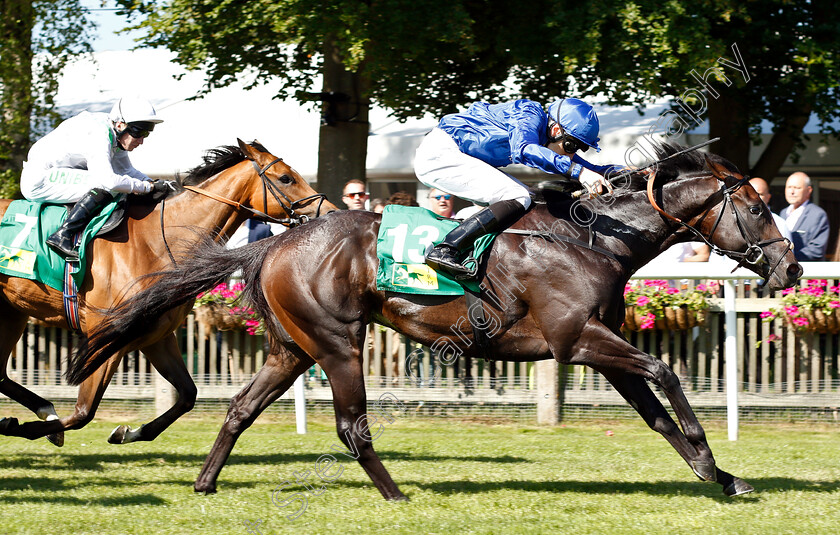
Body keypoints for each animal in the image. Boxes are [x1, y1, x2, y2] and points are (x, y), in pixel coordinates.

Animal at [0, 138, 334, 444]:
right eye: (286, 178)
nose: (331, 212)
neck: (158, 242)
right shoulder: (104, 337)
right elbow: (83, 412)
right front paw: (27, 428)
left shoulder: (156, 336)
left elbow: (188, 394)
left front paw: (129, 432)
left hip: (12, 314)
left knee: (1, 374)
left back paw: (44, 409)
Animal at [70, 144, 800, 500]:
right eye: (758, 210)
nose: (790, 266)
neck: (592, 238)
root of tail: (273, 243)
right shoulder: (578, 341)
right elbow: (666, 374)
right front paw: (711, 455)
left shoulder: (598, 343)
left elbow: (654, 412)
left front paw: (720, 475)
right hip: (338, 341)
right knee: (351, 426)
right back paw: (396, 496)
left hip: (293, 348)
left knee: (239, 409)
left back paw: (203, 480)